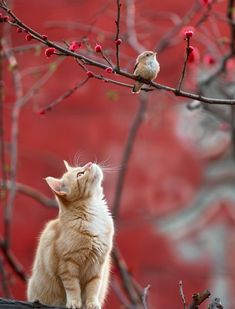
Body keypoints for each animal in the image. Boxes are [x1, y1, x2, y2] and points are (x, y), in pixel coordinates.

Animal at [27, 160, 114, 308]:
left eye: (81, 167)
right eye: (80, 174)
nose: (90, 163)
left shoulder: (97, 266)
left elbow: (93, 288)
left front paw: (92, 303)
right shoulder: (67, 265)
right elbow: (73, 287)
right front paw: (74, 302)